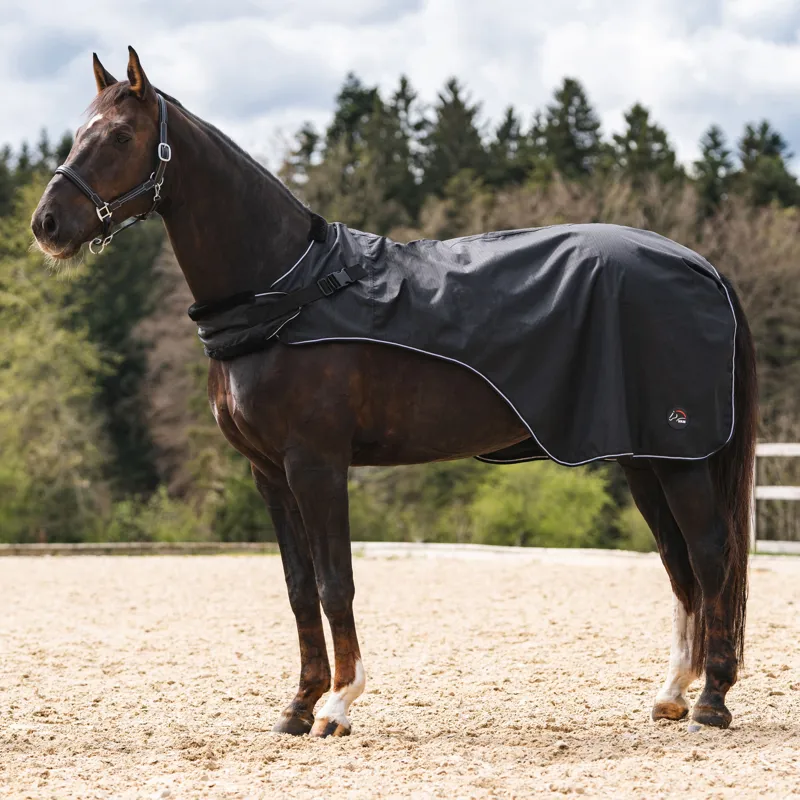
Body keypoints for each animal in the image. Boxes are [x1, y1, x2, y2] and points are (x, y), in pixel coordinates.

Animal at [32, 47, 757, 738]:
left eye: (121, 135)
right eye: (77, 129)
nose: (47, 225)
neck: (287, 291)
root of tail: (700, 265)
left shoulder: (317, 464)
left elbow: (335, 584)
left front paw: (336, 705)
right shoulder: (268, 471)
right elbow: (299, 589)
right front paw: (298, 706)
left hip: (679, 457)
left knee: (710, 553)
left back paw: (712, 700)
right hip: (644, 458)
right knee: (678, 562)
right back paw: (672, 694)